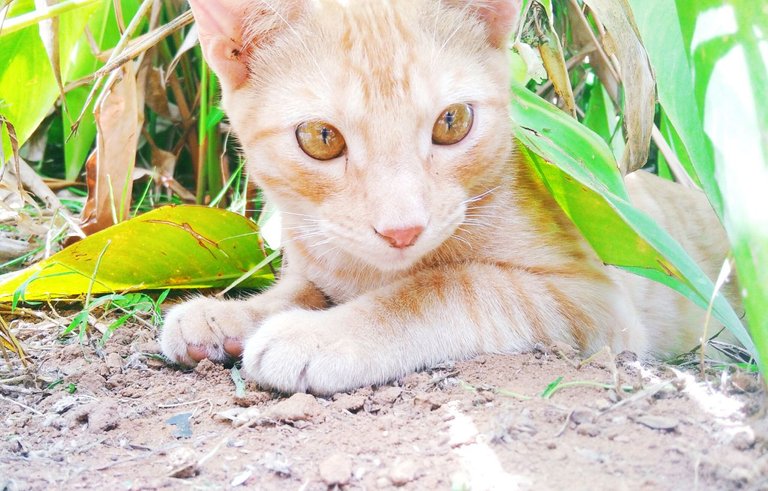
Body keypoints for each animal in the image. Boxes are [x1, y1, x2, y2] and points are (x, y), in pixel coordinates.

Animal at [159, 0, 736, 396]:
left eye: (452, 122)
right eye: (321, 138)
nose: (402, 230)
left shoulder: (595, 301)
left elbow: (449, 286)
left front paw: (321, 335)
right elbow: (298, 290)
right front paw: (228, 315)